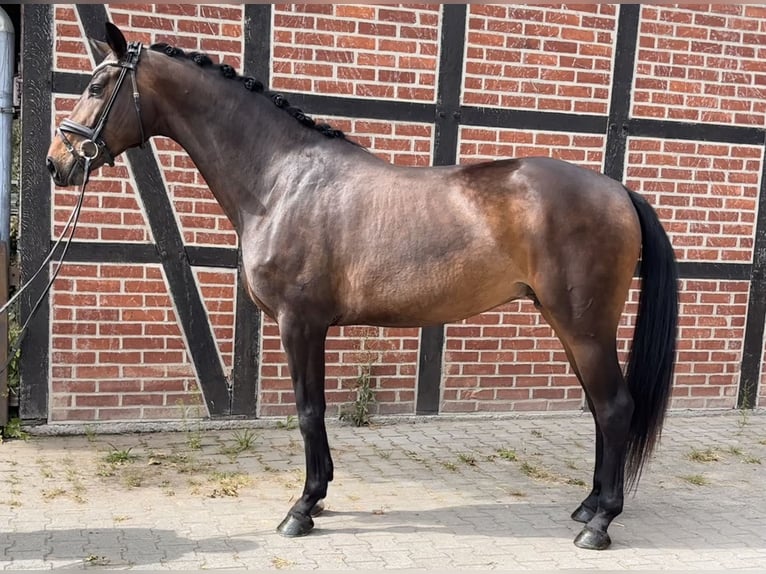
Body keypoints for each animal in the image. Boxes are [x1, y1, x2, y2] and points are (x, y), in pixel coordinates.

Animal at [45, 23, 678, 551]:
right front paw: (319, 498)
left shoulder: (299, 324)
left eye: (98, 85)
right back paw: (587, 506)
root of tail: (618, 191)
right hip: (570, 327)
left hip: (584, 328)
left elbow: (309, 411)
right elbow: (315, 411)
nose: (57, 162)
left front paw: (302, 509)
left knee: (615, 408)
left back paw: (600, 523)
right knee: (600, 410)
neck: (281, 180)